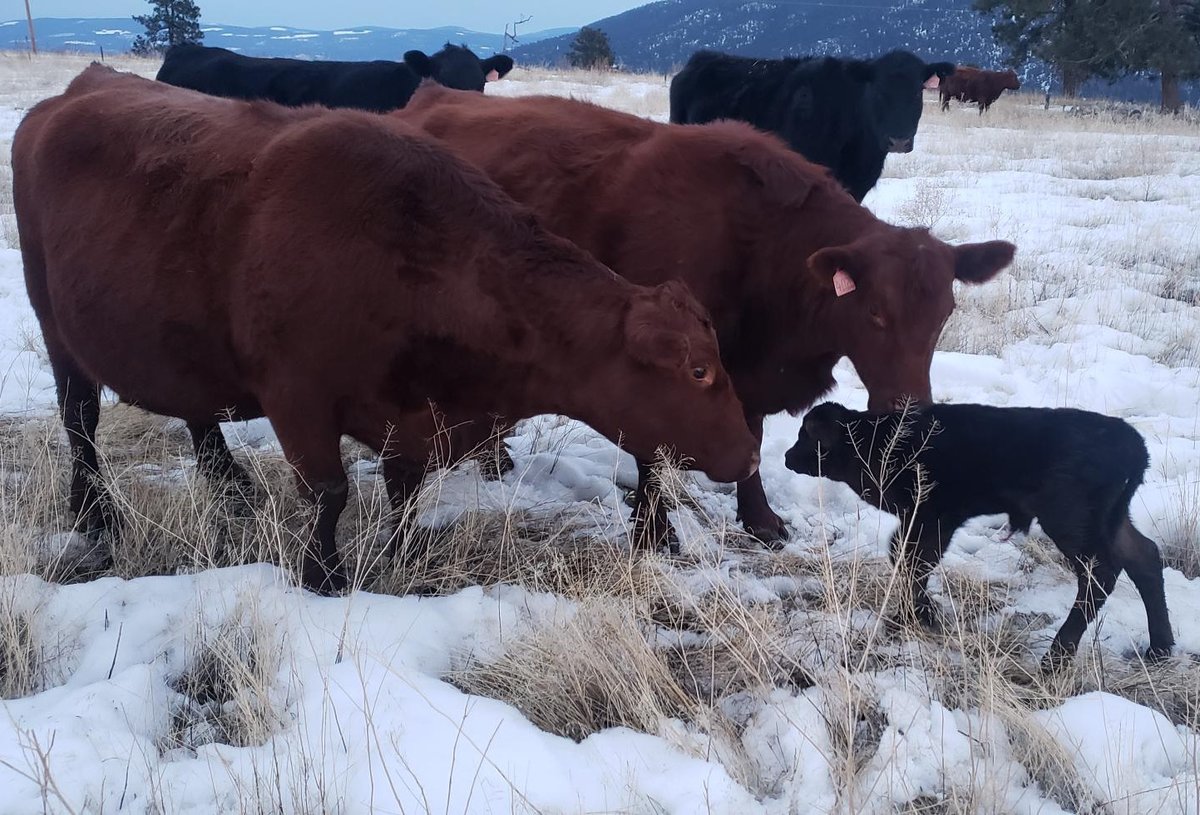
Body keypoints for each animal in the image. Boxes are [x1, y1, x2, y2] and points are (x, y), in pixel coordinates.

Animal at [12, 65, 759, 594]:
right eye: (698, 370)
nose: (751, 455)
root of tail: (75, 92)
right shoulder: (298, 398)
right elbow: (330, 492)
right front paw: (324, 576)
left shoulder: (414, 415)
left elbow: (404, 491)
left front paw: (402, 551)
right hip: (57, 330)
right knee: (79, 421)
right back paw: (94, 514)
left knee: (198, 412)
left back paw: (230, 489)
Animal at [393, 84, 1015, 550]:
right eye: (875, 312)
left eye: (945, 314)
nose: (911, 411)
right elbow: (655, 449)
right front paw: (654, 533)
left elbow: (752, 437)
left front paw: (760, 519)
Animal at [785, 402, 1175, 671]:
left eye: (807, 435)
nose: (788, 457)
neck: (877, 440)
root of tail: (1135, 447)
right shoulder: (931, 521)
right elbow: (908, 559)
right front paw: (922, 614)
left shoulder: (932, 517)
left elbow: (913, 561)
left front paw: (915, 616)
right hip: (1111, 521)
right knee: (1144, 558)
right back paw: (1160, 649)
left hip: (1070, 522)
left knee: (1100, 575)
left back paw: (1055, 658)